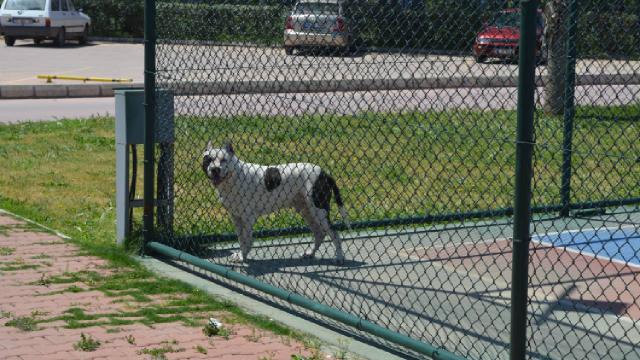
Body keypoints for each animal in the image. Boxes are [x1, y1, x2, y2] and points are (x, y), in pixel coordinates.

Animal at [201, 141, 350, 264]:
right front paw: (241, 256)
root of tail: (324, 173)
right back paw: (310, 253)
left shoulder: (247, 218)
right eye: (209, 159)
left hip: (319, 210)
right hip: (306, 210)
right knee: (319, 233)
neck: (233, 177)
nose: (215, 169)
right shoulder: (236, 217)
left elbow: (246, 240)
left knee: (334, 233)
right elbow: (240, 239)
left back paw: (339, 258)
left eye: (223, 160)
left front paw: (243, 257)